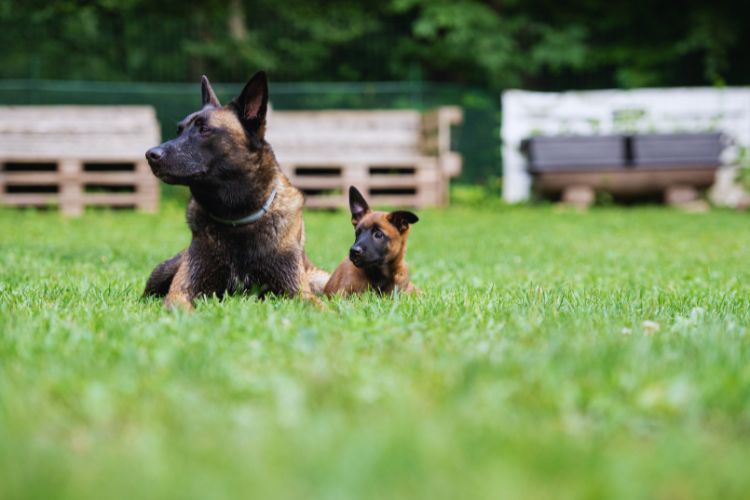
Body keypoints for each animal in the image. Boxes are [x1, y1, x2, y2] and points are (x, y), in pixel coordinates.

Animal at [142, 71, 328, 308]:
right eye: (179, 130)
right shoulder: (181, 291)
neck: (236, 219)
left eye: (204, 129)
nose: (151, 155)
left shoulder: (299, 294)